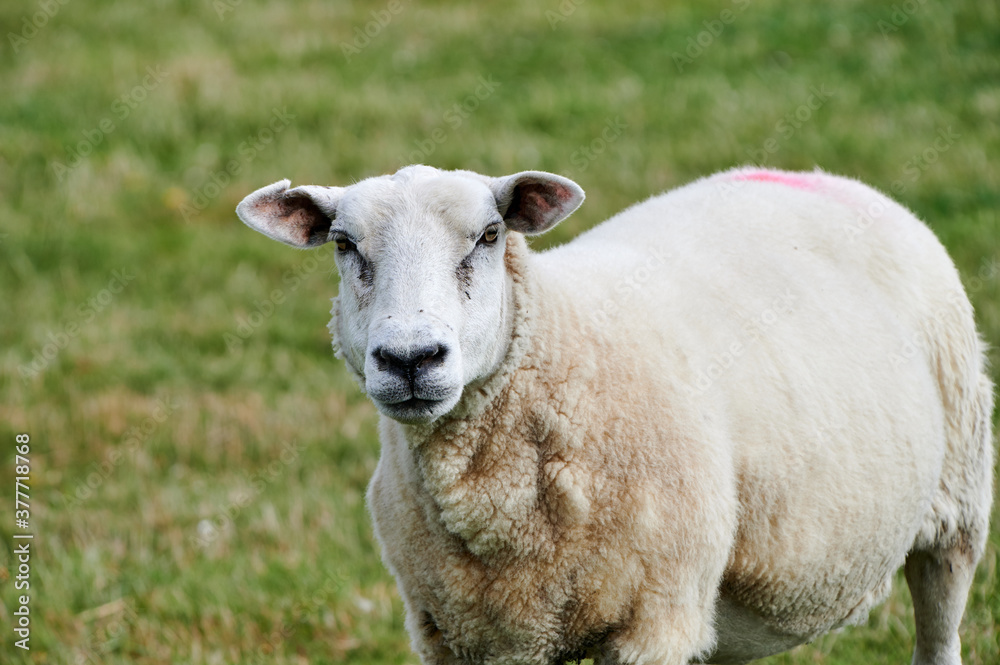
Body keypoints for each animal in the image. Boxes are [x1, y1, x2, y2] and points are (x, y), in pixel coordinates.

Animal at [236, 165, 995, 665]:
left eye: (489, 234)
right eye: (343, 243)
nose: (410, 358)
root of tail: (827, 176)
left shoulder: (653, 621)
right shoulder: (466, 632)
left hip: (956, 510)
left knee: (940, 632)